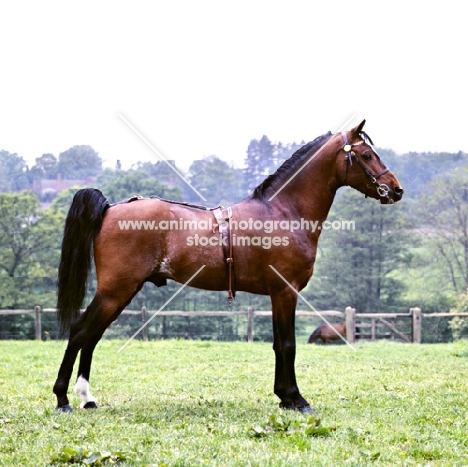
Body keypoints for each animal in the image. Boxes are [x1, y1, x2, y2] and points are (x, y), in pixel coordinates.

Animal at [51, 119, 402, 414]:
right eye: (367, 155)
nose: (396, 189)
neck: (283, 212)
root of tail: (110, 209)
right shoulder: (285, 291)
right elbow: (288, 345)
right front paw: (296, 399)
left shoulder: (277, 295)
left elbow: (278, 345)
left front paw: (284, 397)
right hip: (115, 290)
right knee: (81, 332)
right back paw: (63, 398)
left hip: (121, 292)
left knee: (91, 336)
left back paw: (86, 398)